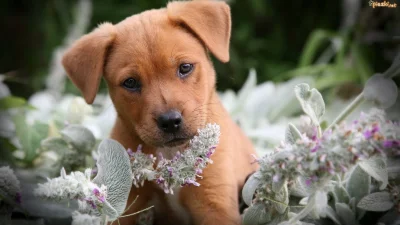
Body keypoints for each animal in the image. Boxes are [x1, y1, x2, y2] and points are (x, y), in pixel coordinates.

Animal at [61, 0, 258, 224]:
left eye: (185, 67)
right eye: (130, 82)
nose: (170, 121)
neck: (171, 153)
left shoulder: (215, 204)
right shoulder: (125, 204)